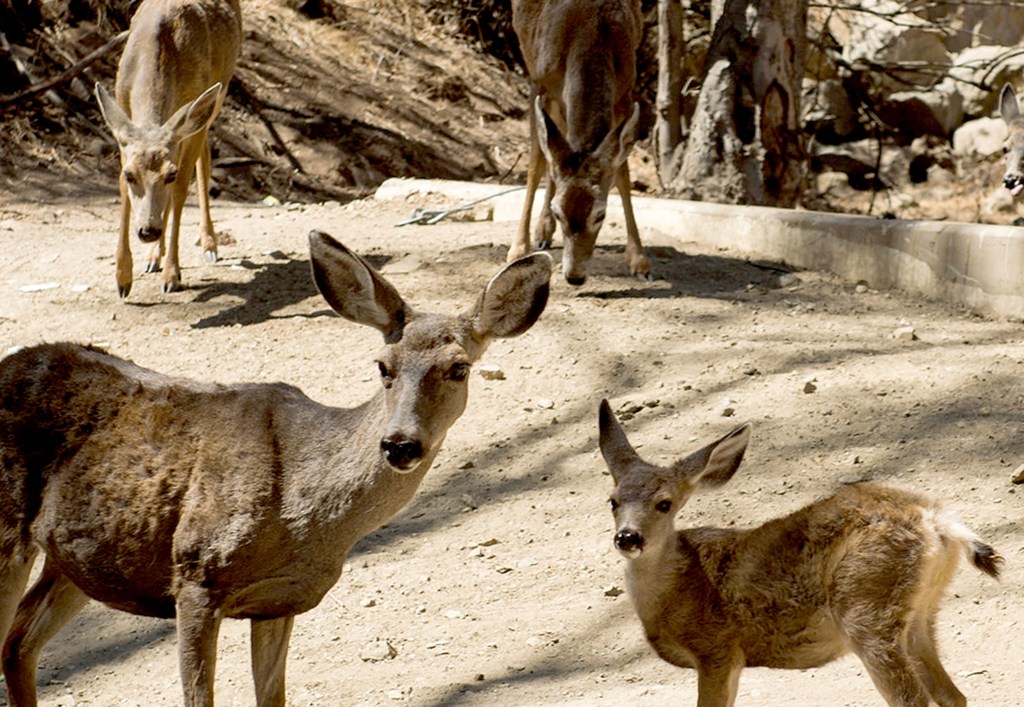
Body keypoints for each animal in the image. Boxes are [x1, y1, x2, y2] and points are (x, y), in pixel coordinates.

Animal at [0, 231, 552, 707]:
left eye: (459, 368)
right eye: (382, 365)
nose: (399, 444)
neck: (304, 516)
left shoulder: (279, 602)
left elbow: (274, 698)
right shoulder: (195, 573)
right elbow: (199, 698)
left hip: (78, 559)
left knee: (19, 643)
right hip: (10, 533)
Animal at [95, 0, 242, 297]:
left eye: (169, 174)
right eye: (130, 175)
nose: (148, 231)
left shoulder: (191, 117)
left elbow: (181, 189)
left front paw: (172, 275)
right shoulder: (122, 116)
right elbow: (122, 189)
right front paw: (123, 278)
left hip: (215, 100)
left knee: (204, 157)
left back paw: (208, 243)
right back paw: (154, 255)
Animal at [509, 0, 650, 286]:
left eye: (601, 214)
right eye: (558, 212)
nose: (574, 276)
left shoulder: (625, 91)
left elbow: (622, 174)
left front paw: (639, 261)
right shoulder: (539, 82)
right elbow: (536, 164)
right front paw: (518, 249)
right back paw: (540, 233)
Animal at [598, 400, 1002, 707]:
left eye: (664, 503)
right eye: (612, 501)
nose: (628, 537)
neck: (675, 588)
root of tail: (936, 519)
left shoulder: (718, 649)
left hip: (866, 607)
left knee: (913, 699)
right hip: (921, 612)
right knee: (952, 696)